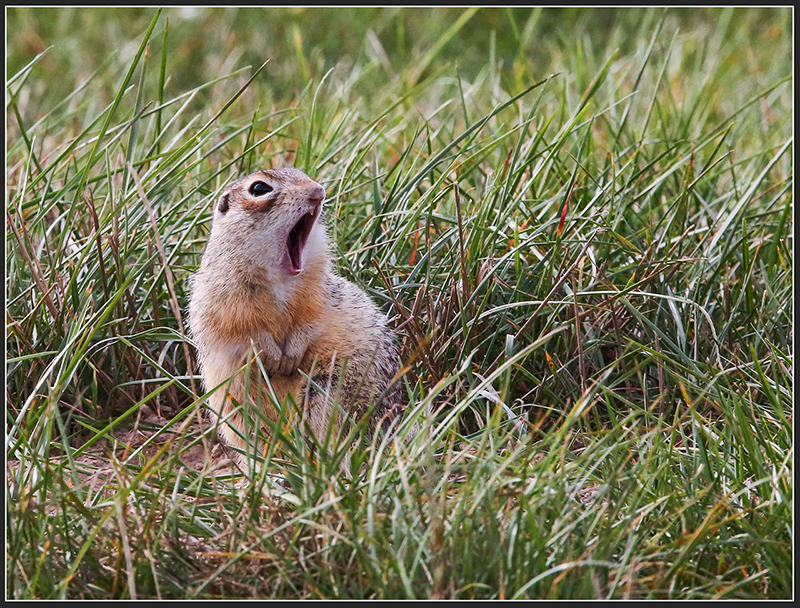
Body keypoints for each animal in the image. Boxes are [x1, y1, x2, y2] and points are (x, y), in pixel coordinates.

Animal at [189, 166, 406, 460]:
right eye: (259, 188)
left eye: (301, 172)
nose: (318, 191)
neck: (279, 274)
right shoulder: (221, 304)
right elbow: (242, 332)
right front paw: (271, 354)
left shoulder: (319, 297)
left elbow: (313, 323)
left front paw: (291, 354)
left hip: (325, 390)